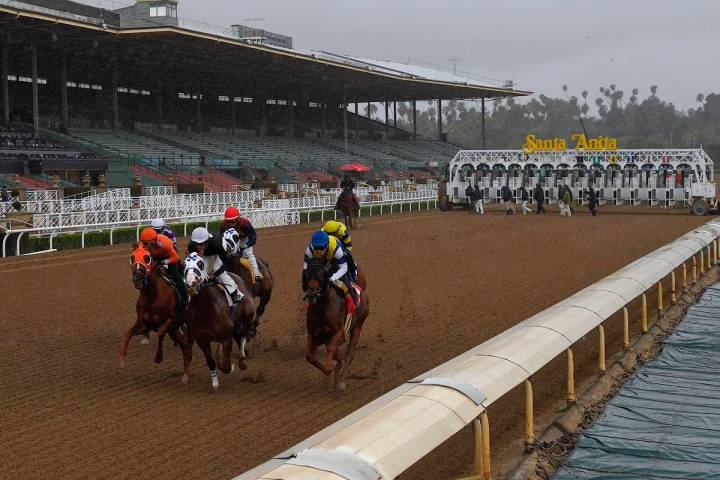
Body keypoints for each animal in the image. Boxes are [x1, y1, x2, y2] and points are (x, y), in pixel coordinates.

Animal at [183, 251, 256, 390]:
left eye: (200, 264)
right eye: (183, 265)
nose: (190, 283)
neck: (206, 309)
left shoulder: (226, 336)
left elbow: (226, 365)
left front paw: (230, 365)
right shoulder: (202, 339)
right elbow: (211, 361)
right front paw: (215, 384)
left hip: (248, 317)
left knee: (242, 337)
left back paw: (242, 360)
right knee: (238, 337)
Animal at [304, 256, 372, 388]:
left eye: (322, 274)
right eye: (307, 273)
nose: (312, 292)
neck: (322, 308)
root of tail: (362, 292)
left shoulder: (340, 333)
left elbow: (332, 349)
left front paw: (332, 368)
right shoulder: (314, 336)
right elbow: (310, 357)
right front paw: (331, 368)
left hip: (358, 325)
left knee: (350, 354)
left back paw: (341, 379)